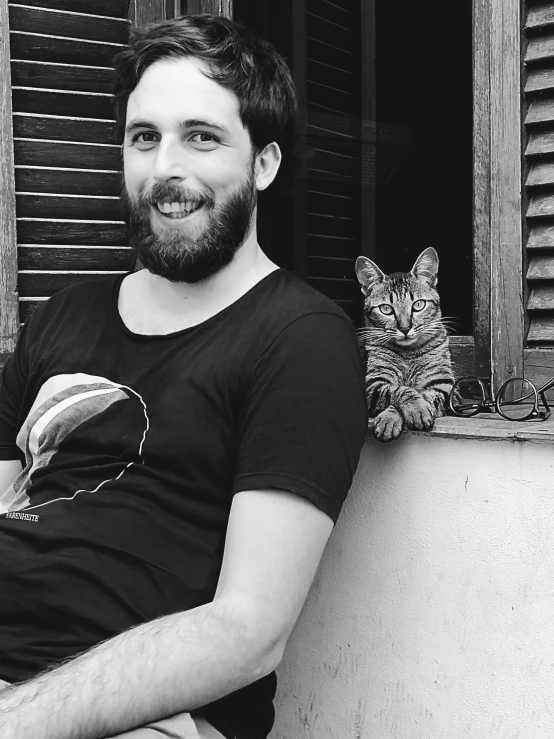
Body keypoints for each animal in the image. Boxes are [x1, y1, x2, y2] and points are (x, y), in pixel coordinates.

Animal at [354, 249, 452, 446]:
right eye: (386, 309)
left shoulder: (442, 384)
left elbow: (425, 395)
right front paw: (394, 417)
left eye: (418, 305)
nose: (405, 328)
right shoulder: (372, 383)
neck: (409, 354)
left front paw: (417, 410)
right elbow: (399, 390)